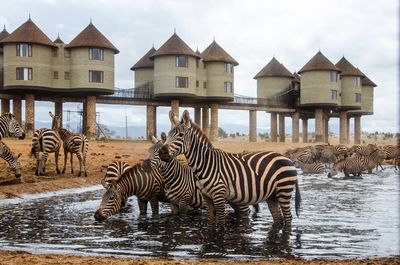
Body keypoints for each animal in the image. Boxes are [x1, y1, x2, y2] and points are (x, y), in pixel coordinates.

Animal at [159, 109, 300, 227]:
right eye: (169, 134)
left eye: (181, 135)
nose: (161, 152)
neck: (205, 164)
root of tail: (287, 158)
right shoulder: (207, 197)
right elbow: (211, 224)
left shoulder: (219, 196)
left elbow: (221, 225)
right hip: (272, 195)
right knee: (278, 219)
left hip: (284, 190)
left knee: (288, 218)